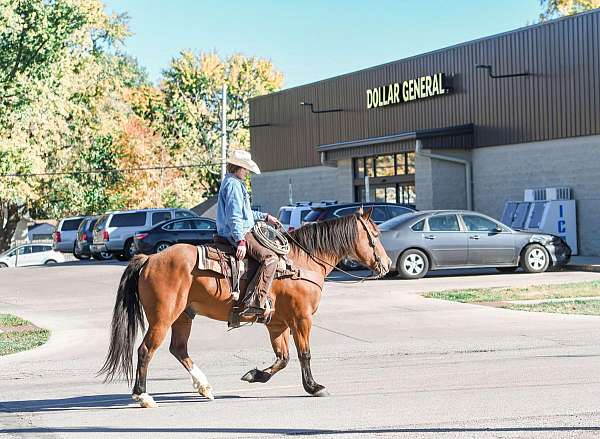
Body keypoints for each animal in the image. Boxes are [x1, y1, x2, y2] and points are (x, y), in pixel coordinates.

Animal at [98, 208, 392, 408]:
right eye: (375, 235)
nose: (387, 264)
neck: (301, 263)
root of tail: (149, 259)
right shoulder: (301, 318)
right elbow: (304, 354)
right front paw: (314, 386)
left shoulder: (278, 324)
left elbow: (283, 358)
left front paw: (254, 375)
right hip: (163, 317)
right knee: (146, 350)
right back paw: (143, 395)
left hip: (183, 316)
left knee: (178, 349)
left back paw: (204, 387)